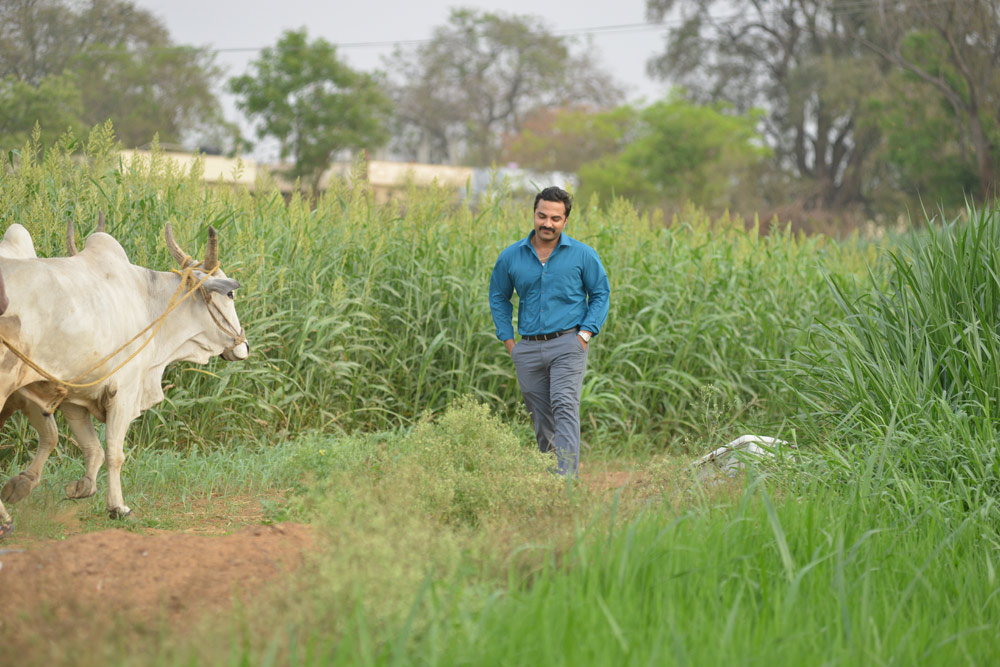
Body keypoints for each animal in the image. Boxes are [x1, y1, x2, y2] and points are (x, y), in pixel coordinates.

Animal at [0, 222, 250, 536]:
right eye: (229, 296)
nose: (244, 346)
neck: (147, 302)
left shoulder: (74, 394)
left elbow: (89, 447)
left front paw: (78, 487)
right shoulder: (123, 393)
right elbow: (113, 453)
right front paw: (118, 507)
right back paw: (5, 521)